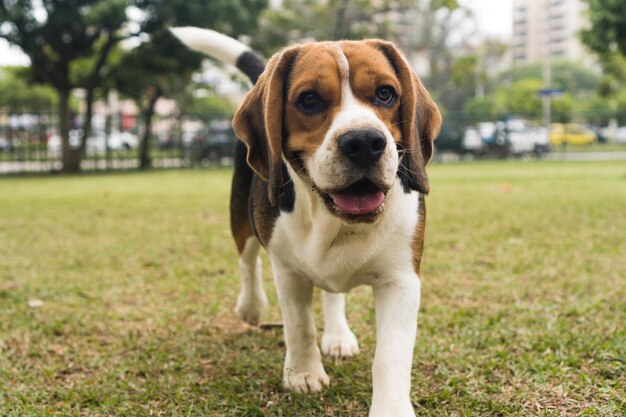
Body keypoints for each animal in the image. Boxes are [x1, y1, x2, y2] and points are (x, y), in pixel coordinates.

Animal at [168, 27, 442, 414]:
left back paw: (338, 335)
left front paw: (390, 408)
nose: (363, 141)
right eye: (309, 99)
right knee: (247, 261)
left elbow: (390, 357)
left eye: (385, 93)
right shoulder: (288, 272)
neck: (333, 220)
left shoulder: (400, 280)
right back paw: (252, 307)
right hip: (242, 218)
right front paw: (303, 373)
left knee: (331, 294)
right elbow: (299, 326)